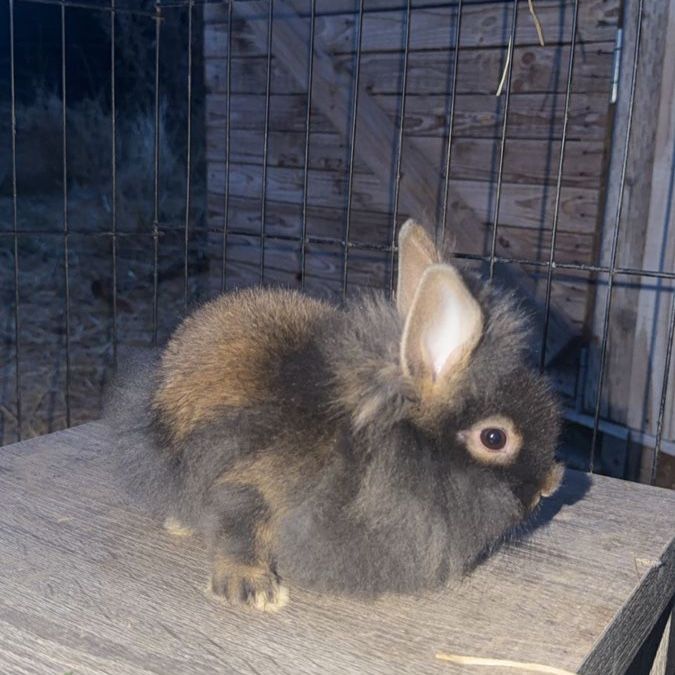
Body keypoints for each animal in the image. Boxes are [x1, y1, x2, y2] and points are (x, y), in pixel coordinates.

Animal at [104, 219, 563, 612]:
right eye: (494, 438)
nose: (551, 483)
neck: (373, 444)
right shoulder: (248, 479)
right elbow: (239, 530)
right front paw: (254, 590)